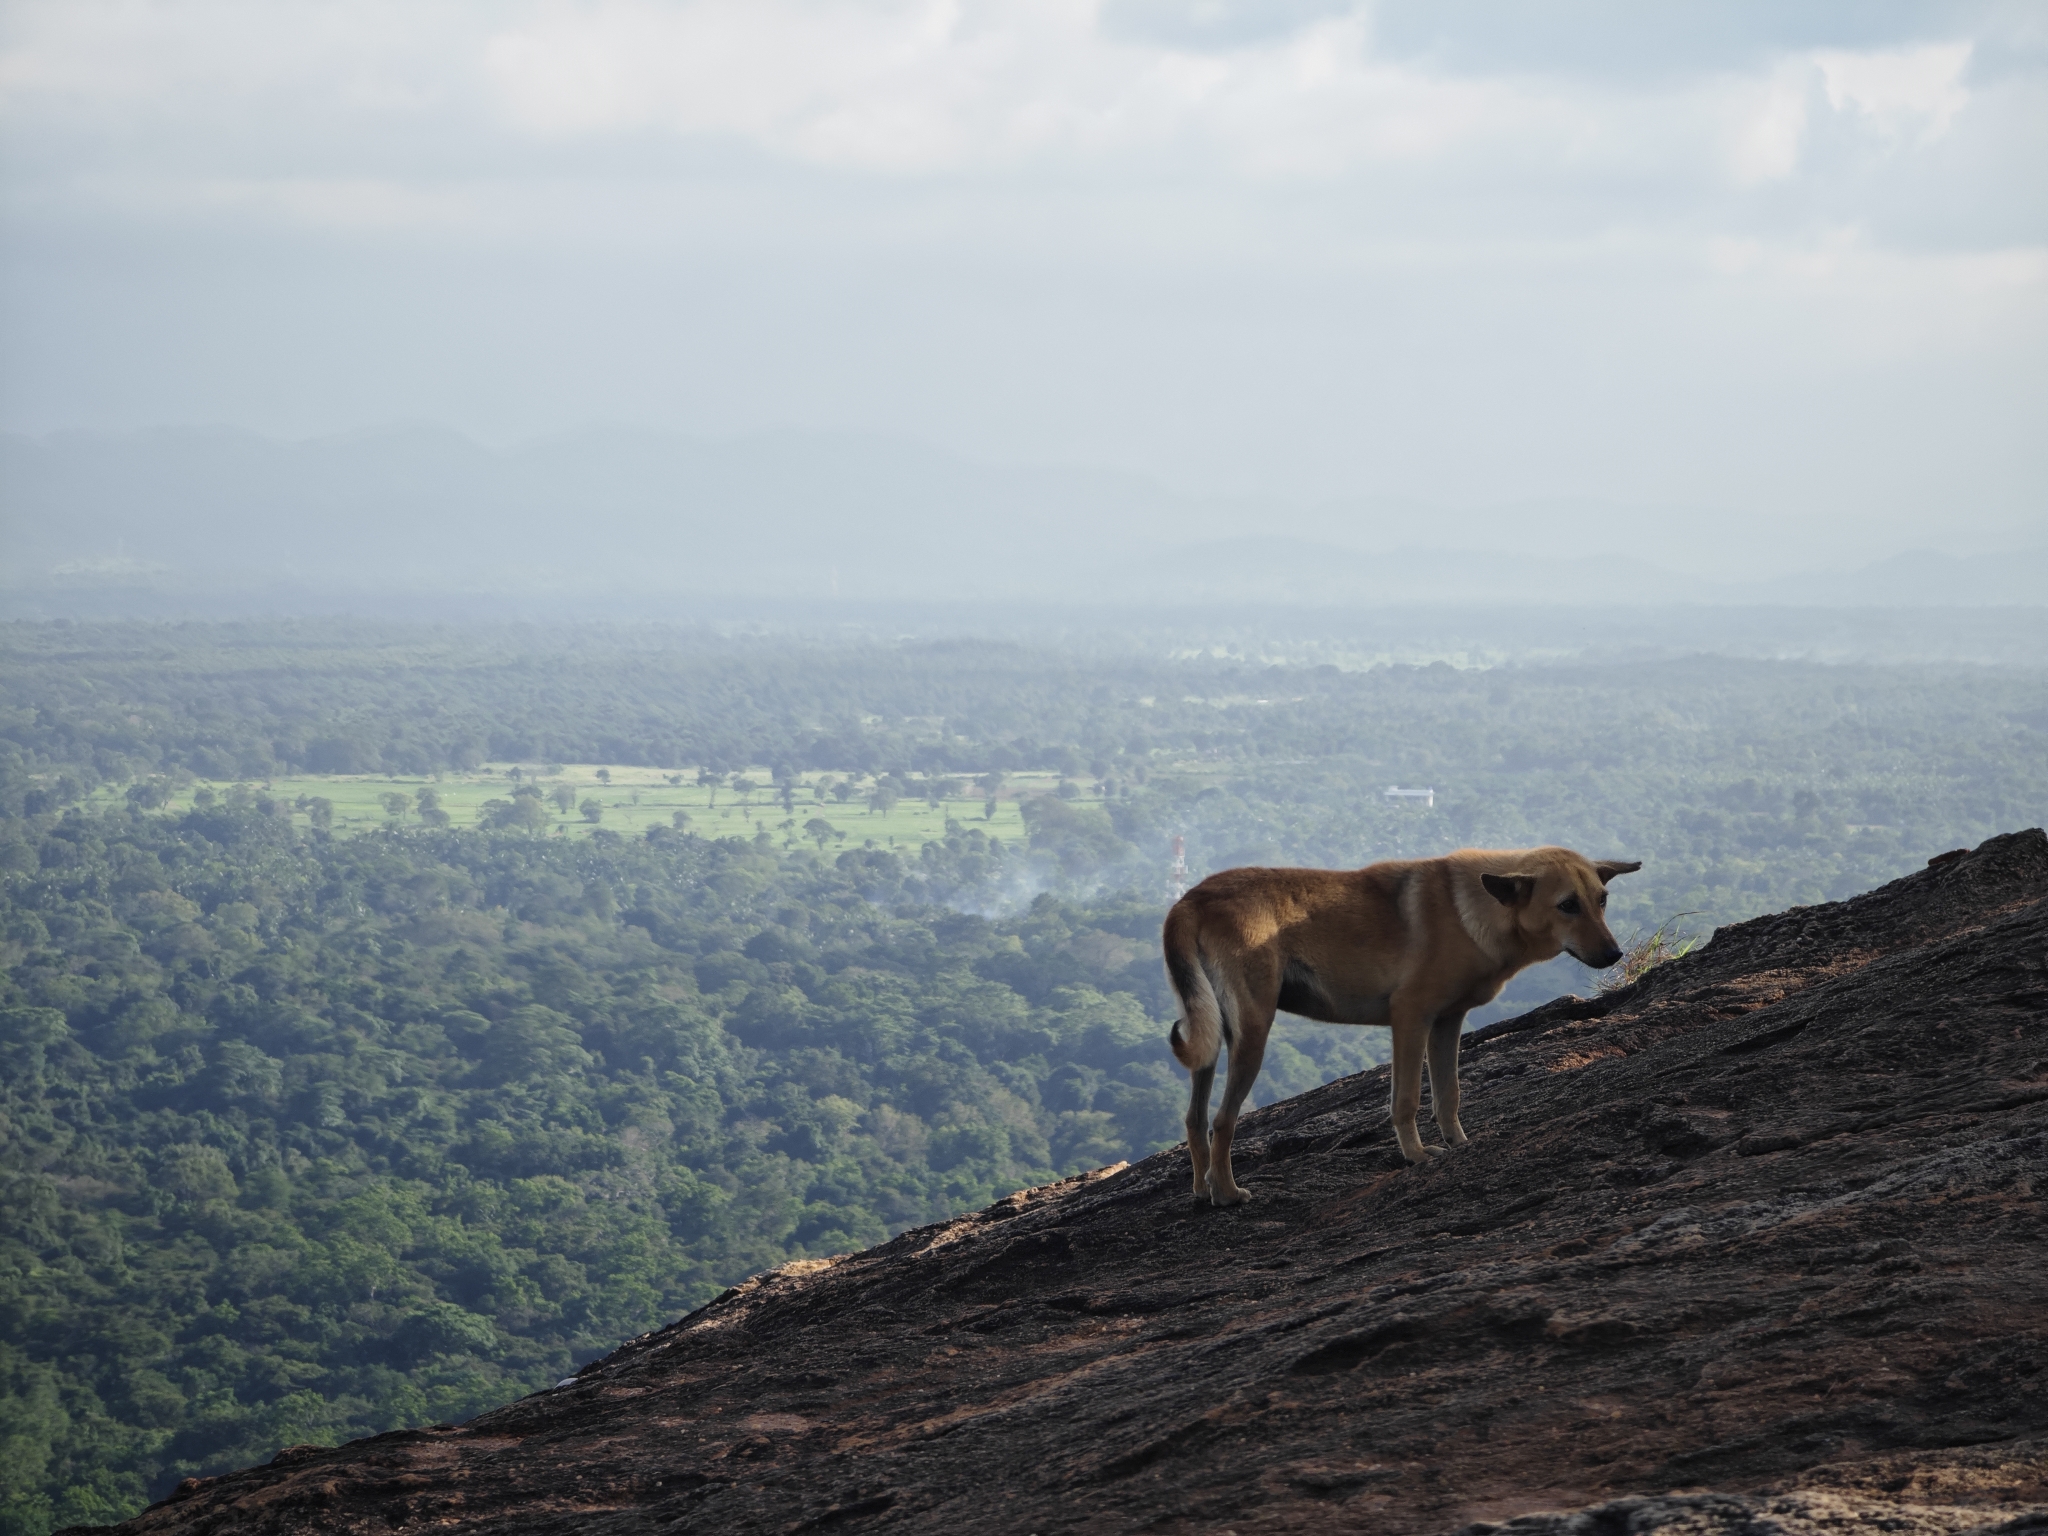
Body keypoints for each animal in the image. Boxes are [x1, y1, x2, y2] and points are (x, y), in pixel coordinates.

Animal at [1163, 856, 1638, 1204]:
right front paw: (1415, 1155)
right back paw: (1227, 1194)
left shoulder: (1447, 1023)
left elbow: (1448, 1094)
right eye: (1567, 904)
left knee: (1194, 1118)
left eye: (1602, 900)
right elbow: (1406, 1099)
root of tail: (1189, 901)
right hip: (1253, 1031)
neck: (1472, 910)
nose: (1615, 954)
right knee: (1222, 1121)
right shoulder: (1411, 1017)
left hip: (1212, 1031)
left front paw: (1459, 1142)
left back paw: (1202, 1190)